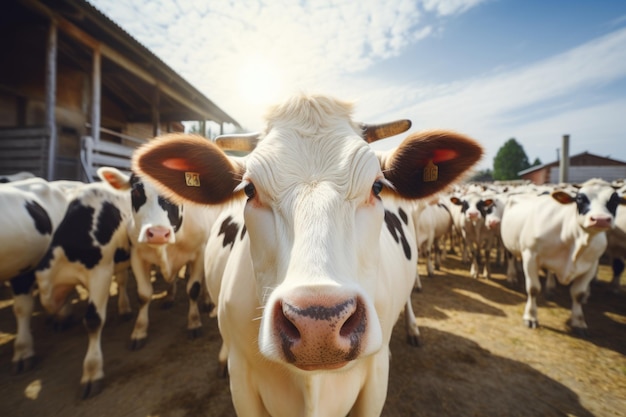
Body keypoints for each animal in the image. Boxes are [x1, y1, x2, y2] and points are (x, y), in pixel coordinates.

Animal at [498, 177, 624, 334]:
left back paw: (550, 288)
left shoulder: (591, 265)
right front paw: (531, 317)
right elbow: (533, 289)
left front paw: (578, 321)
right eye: (580, 198)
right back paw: (512, 277)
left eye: (615, 200)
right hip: (509, 244)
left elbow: (578, 294)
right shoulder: (530, 256)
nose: (600, 219)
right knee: (511, 258)